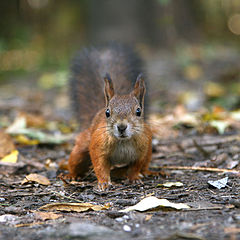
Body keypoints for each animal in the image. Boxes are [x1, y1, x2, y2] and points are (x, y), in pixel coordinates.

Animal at [67, 42, 156, 189]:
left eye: (138, 111)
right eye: (107, 112)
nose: (121, 127)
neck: (123, 141)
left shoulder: (142, 151)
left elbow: (135, 167)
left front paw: (134, 178)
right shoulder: (98, 146)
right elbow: (100, 165)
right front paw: (104, 183)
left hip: (149, 151)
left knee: (143, 165)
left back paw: (148, 172)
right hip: (81, 148)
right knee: (76, 161)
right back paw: (71, 175)